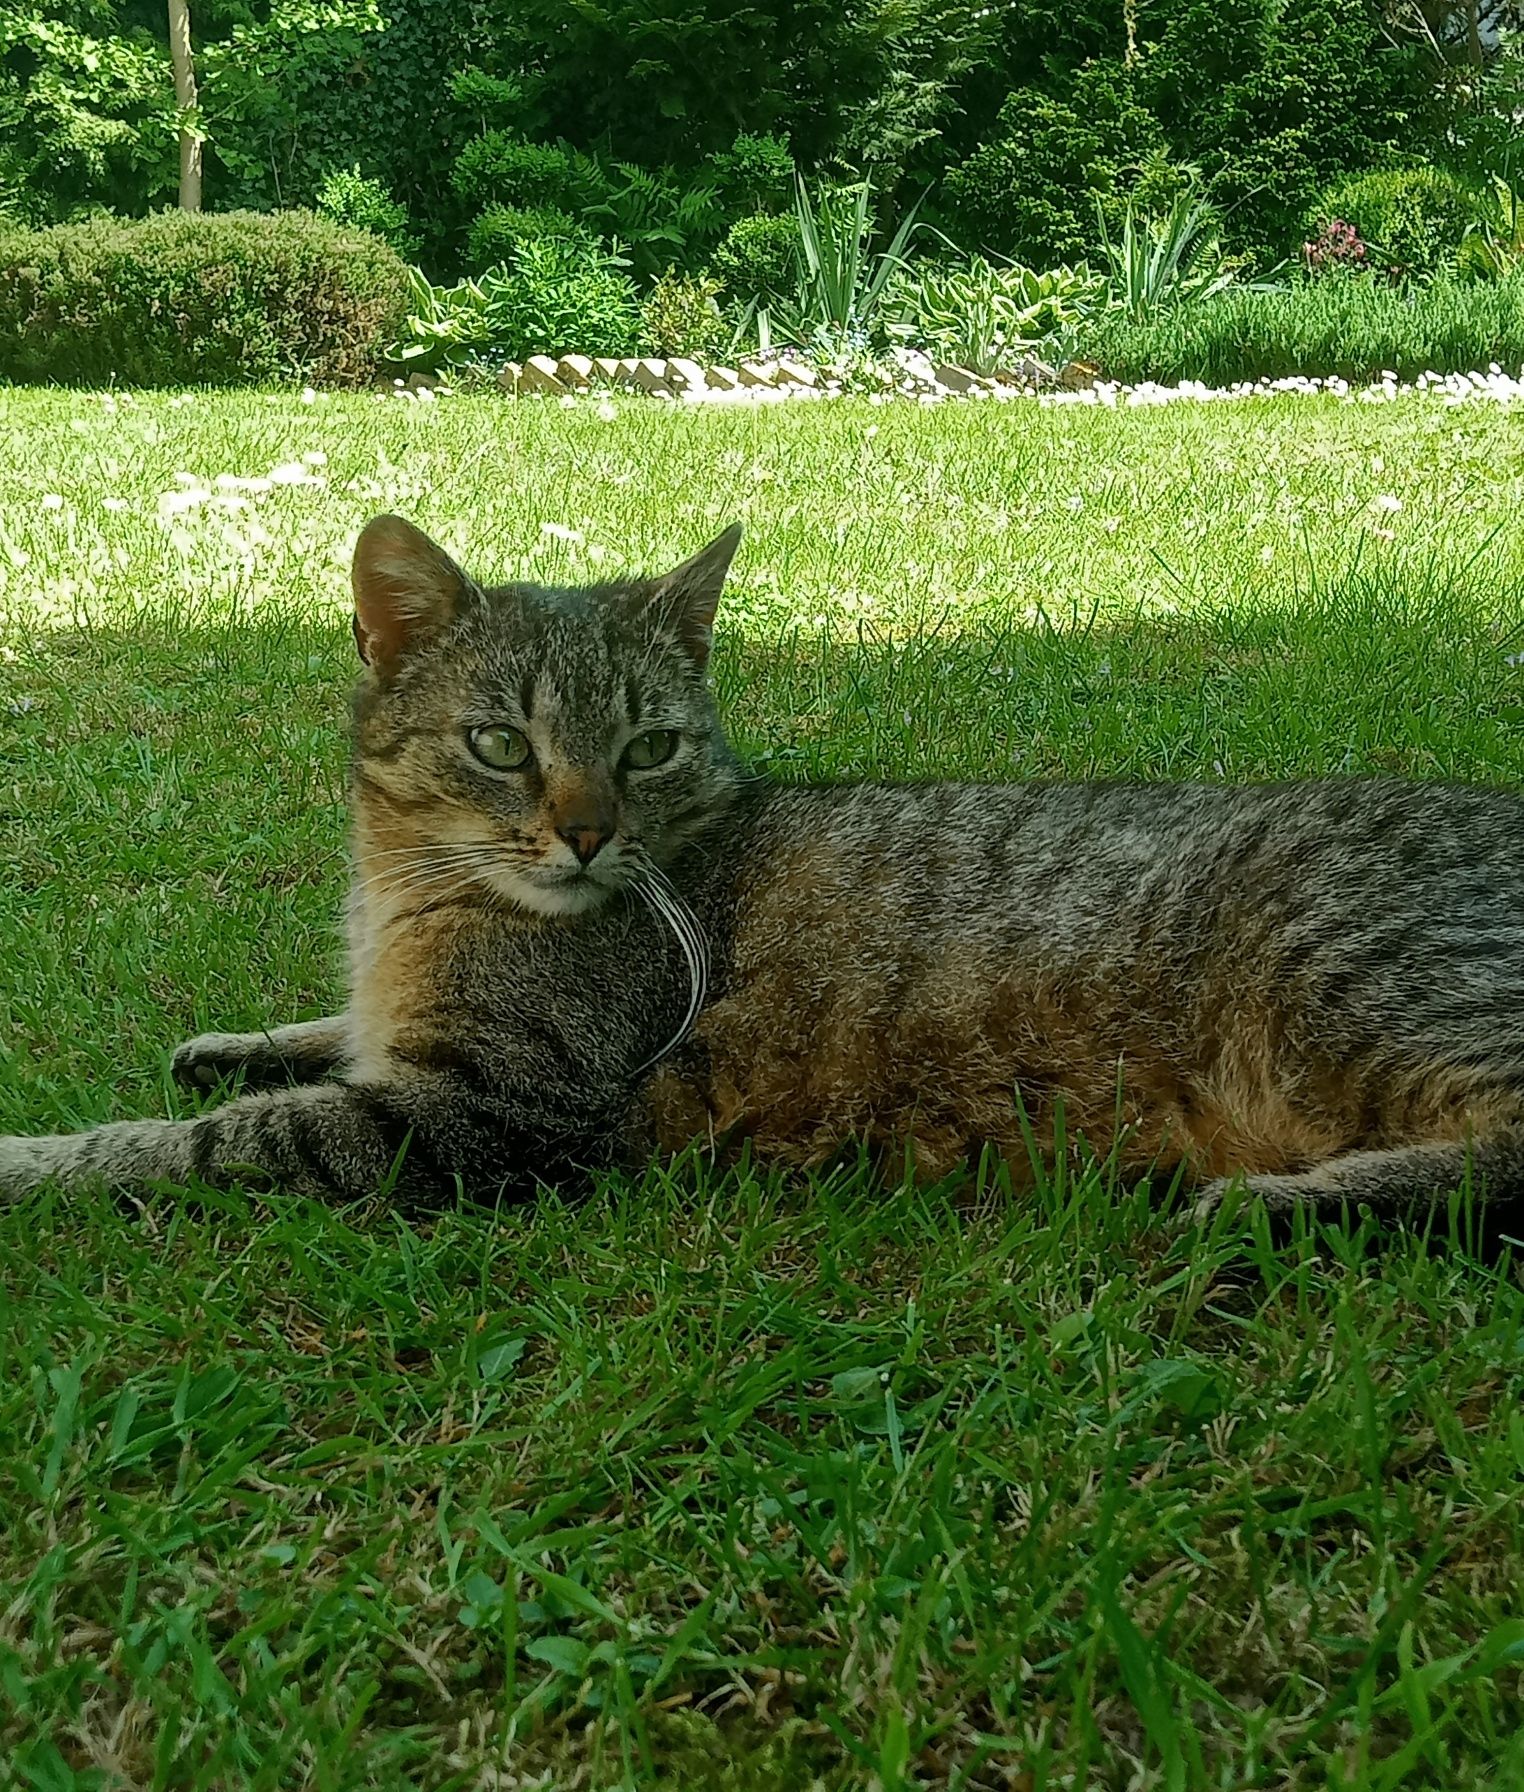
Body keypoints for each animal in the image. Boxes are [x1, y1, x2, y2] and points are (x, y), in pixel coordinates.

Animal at [2, 505, 1520, 1232]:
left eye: (649, 747)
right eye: (501, 743)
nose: (585, 830)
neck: (409, 893)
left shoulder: (490, 1114)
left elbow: (204, 1141)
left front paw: (40, 1156)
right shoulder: (403, 1041)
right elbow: (318, 1038)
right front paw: (245, 1037)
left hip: (1346, 985)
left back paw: (1274, 1204)